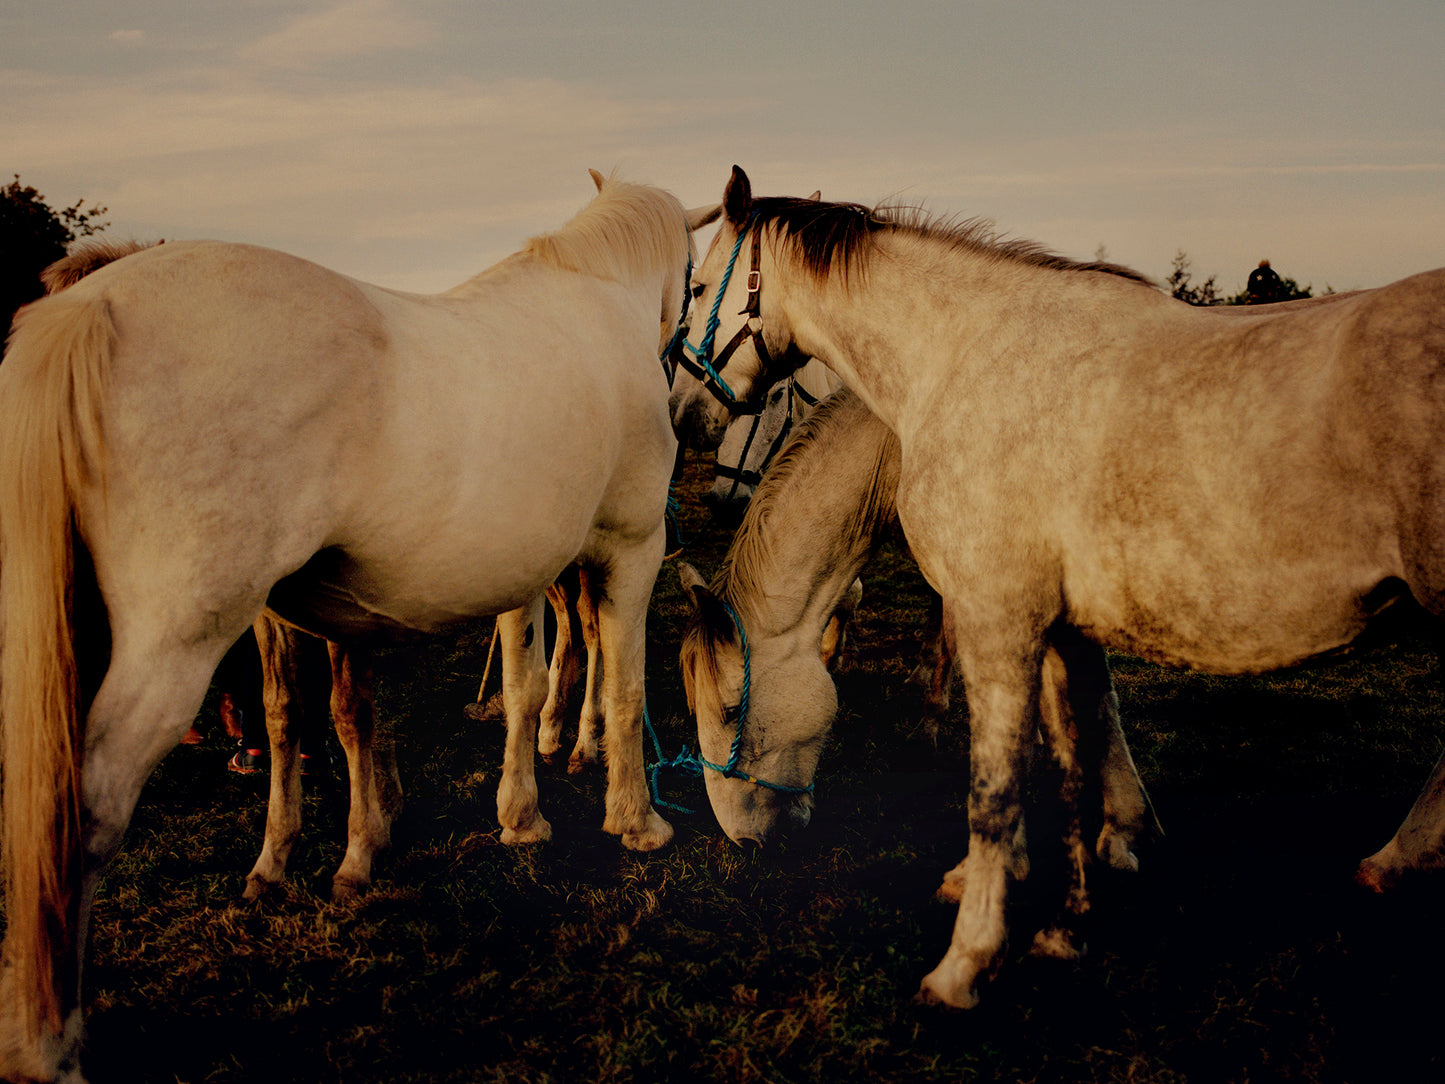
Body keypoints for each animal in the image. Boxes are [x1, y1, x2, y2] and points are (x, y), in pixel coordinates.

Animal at [0, 174, 719, 1081]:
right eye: (695, 280)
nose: (692, 405)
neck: (595, 300)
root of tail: (90, 307)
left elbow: (503, 692)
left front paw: (512, 816)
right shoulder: (630, 548)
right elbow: (620, 689)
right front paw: (635, 822)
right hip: (176, 645)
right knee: (83, 813)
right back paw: (51, 1046)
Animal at [670, 165, 1445, 1017]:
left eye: (699, 285)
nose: (682, 411)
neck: (956, 363)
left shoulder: (995, 612)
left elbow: (996, 778)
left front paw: (969, 953)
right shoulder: (1059, 615)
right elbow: (1079, 729)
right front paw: (1091, 875)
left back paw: (1396, 857)